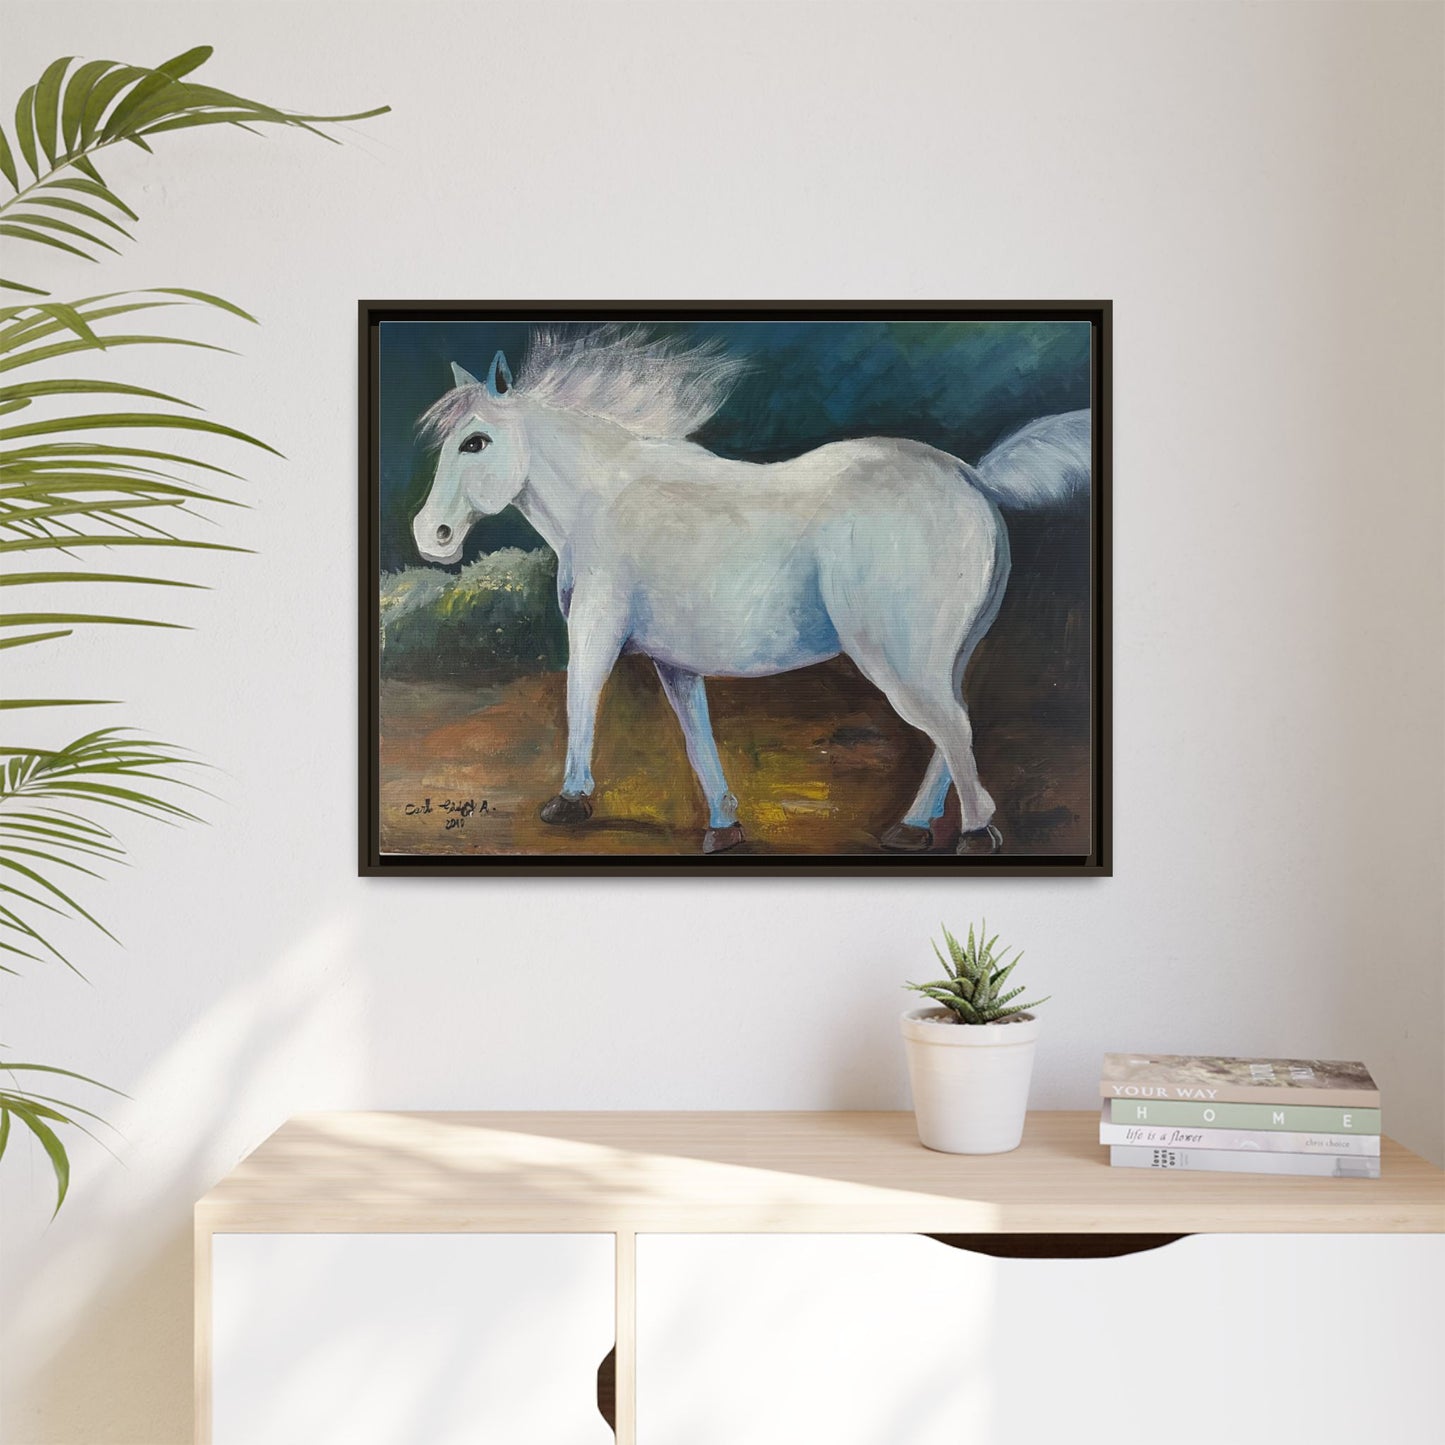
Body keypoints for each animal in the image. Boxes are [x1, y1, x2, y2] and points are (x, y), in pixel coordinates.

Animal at [411, 327, 1089, 855]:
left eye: (475, 441)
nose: (430, 535)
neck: (603, 499)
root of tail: (971, 476)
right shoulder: (675, 662)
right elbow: (697, 737)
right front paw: (723, 825)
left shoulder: (595, 630)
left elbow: (581, 698)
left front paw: (570, 803)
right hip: (943, 655)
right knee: (953, 730)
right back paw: (914, 829)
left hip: (898, 657)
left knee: (951, 729)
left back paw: (973, 834)